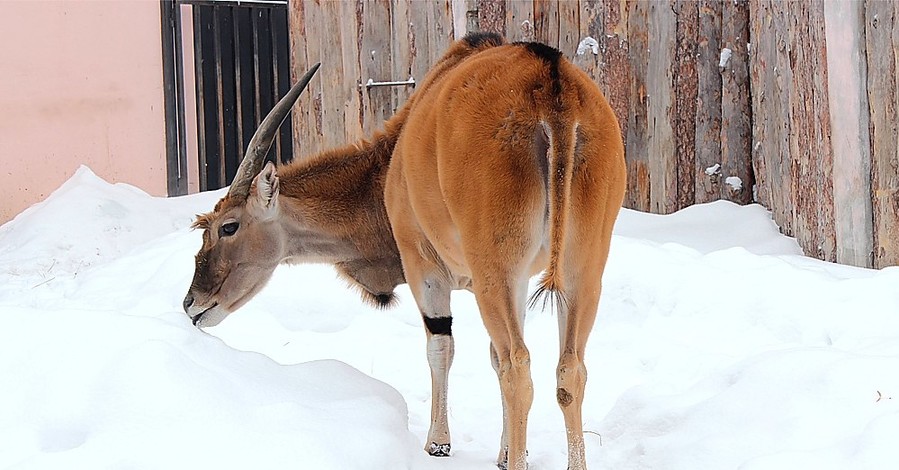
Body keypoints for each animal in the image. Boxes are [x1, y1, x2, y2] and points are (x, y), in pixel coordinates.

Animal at [185, 33, 624, 470]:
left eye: (228, 226)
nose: (192, 304)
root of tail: (551, 86)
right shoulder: (517, 283)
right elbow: (492, 356)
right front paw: (503, 452)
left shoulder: (424, 268)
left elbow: (442, 347)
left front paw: (439, 443)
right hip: (581, 274)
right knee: (569, 370)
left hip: (495, 274)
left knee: (519, 367)